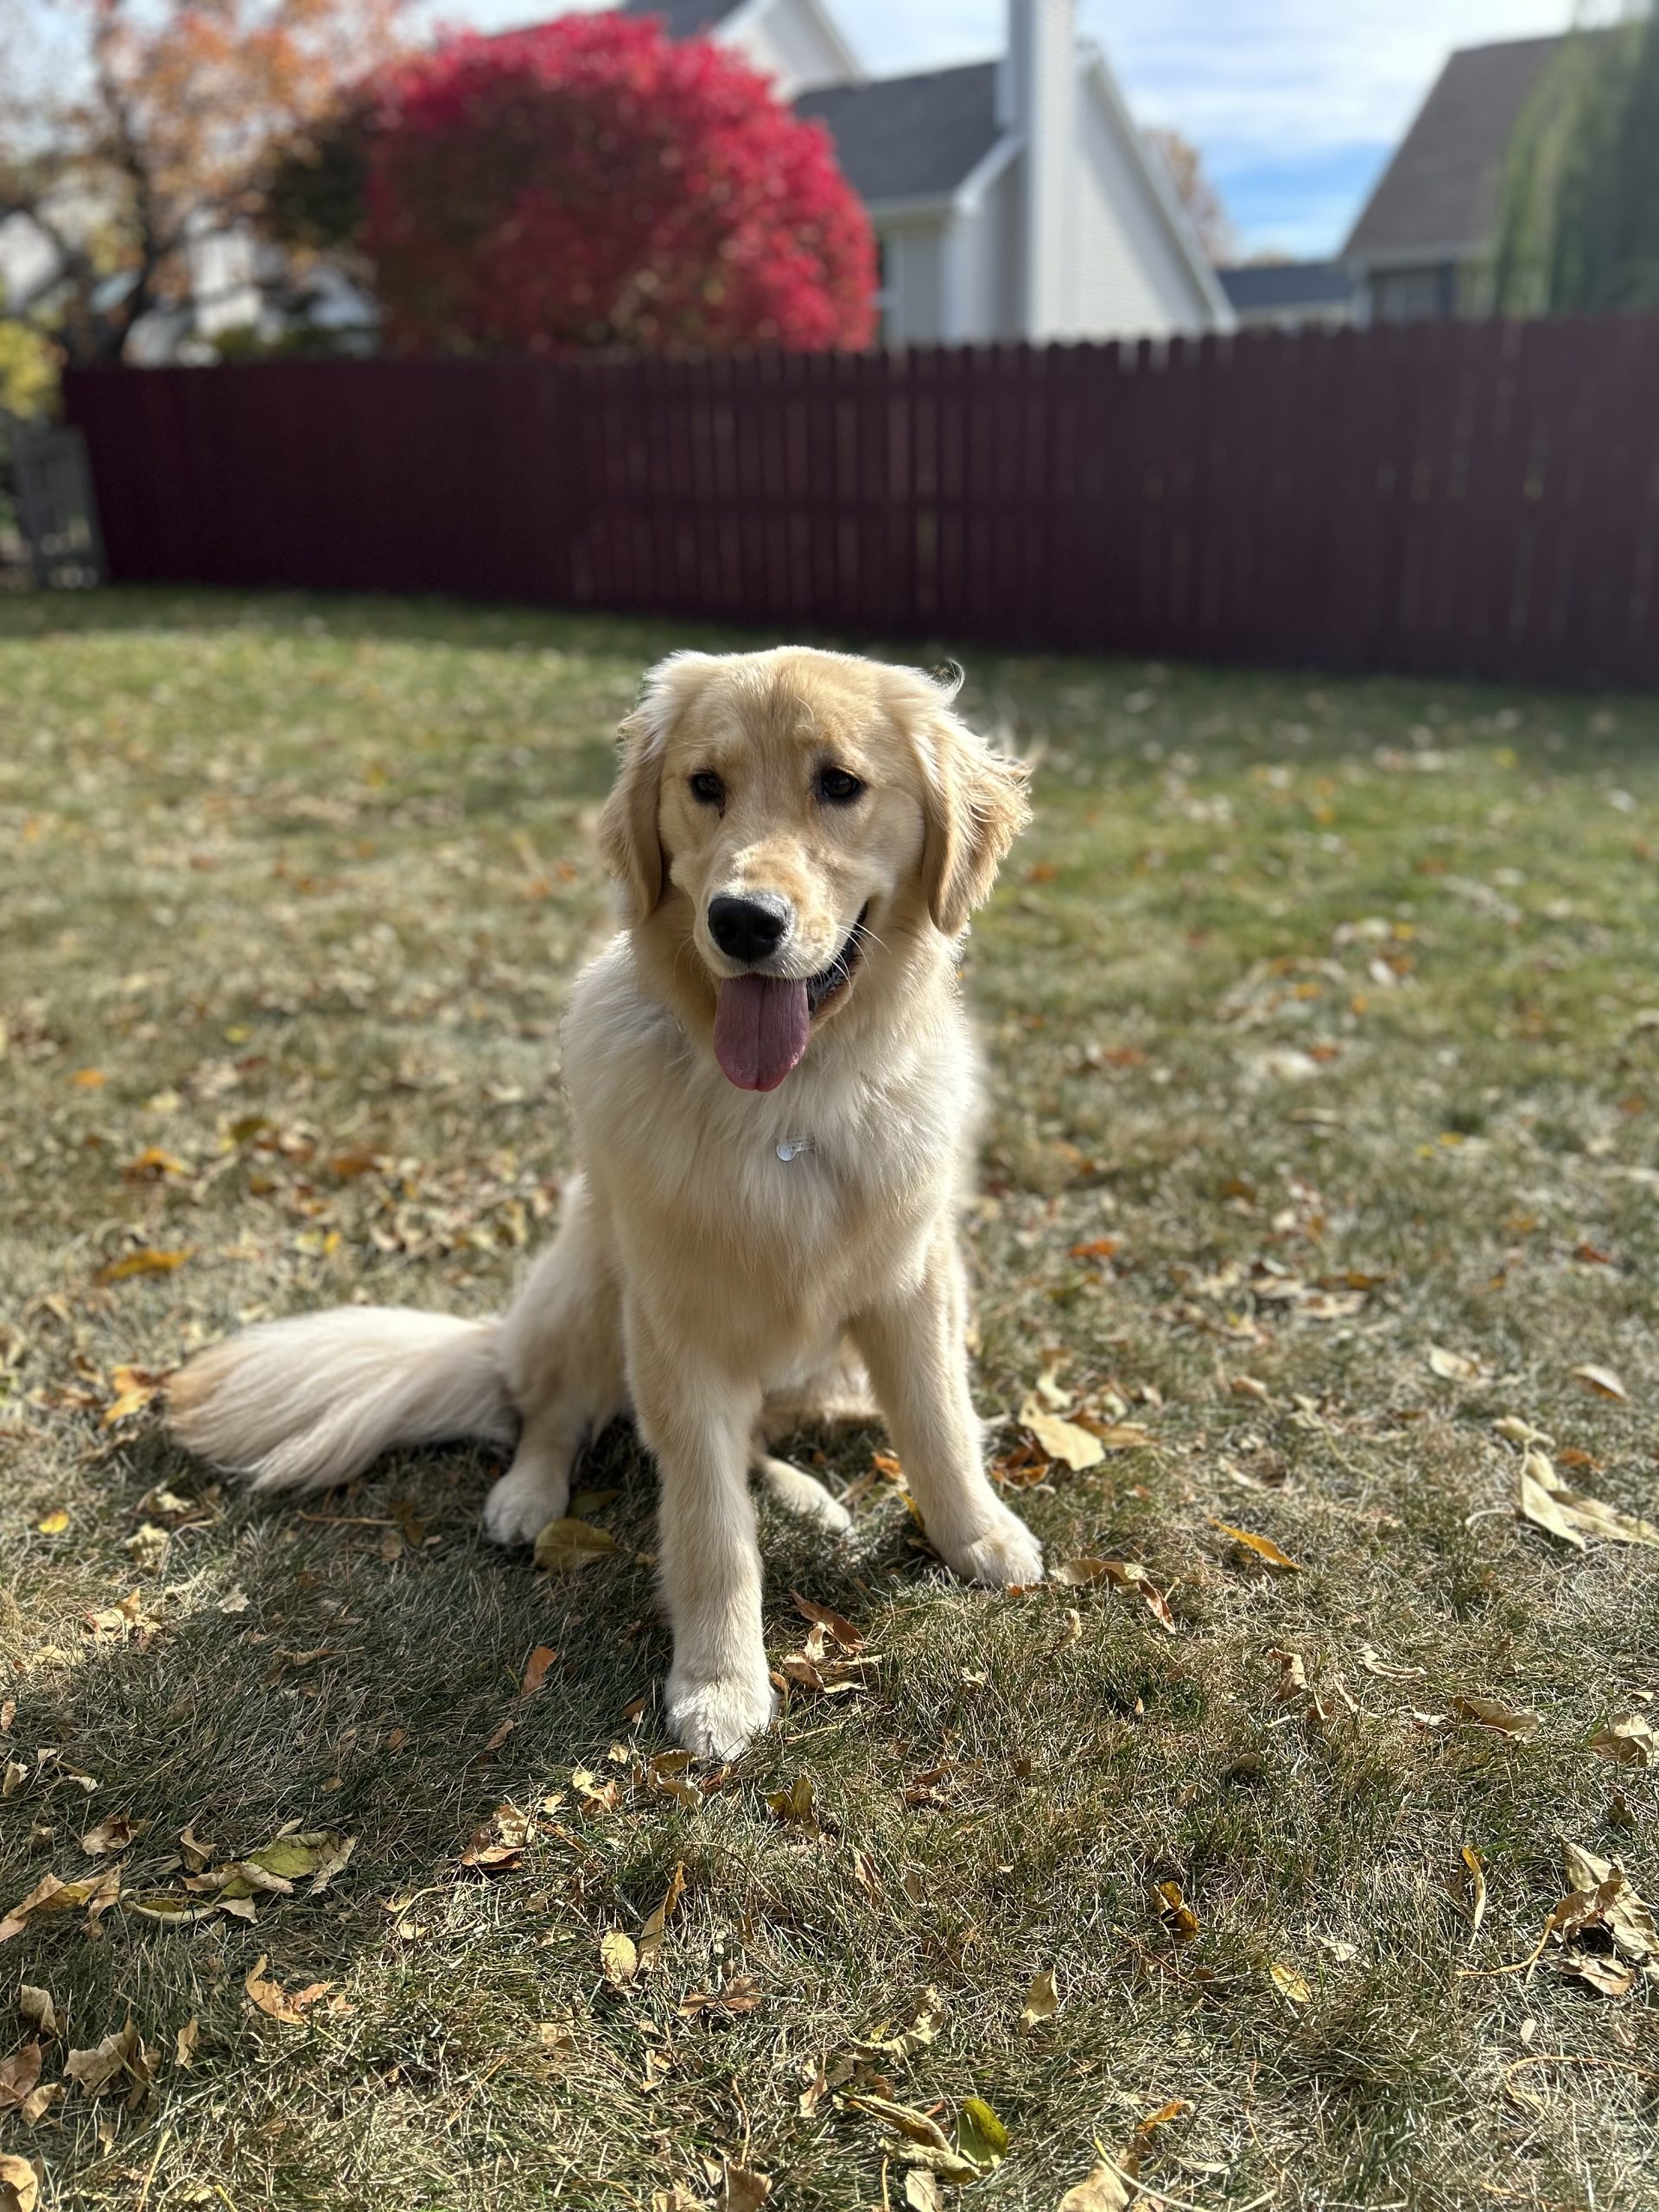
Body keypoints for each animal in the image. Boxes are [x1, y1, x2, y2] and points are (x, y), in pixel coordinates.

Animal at [168, 647, 1045, 1758]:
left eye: (840, 785)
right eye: (705, 785)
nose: (742, 921)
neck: (790, 1107)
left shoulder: (914, 1282)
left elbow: (937, 1424)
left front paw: (979, 1537)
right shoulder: (673, 1322)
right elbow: (709, 1526)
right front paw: (720, 1685)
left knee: (765, 1435)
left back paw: (808, 1498)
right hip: (585, 1284)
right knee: (548, 1414)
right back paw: (527, 1496)